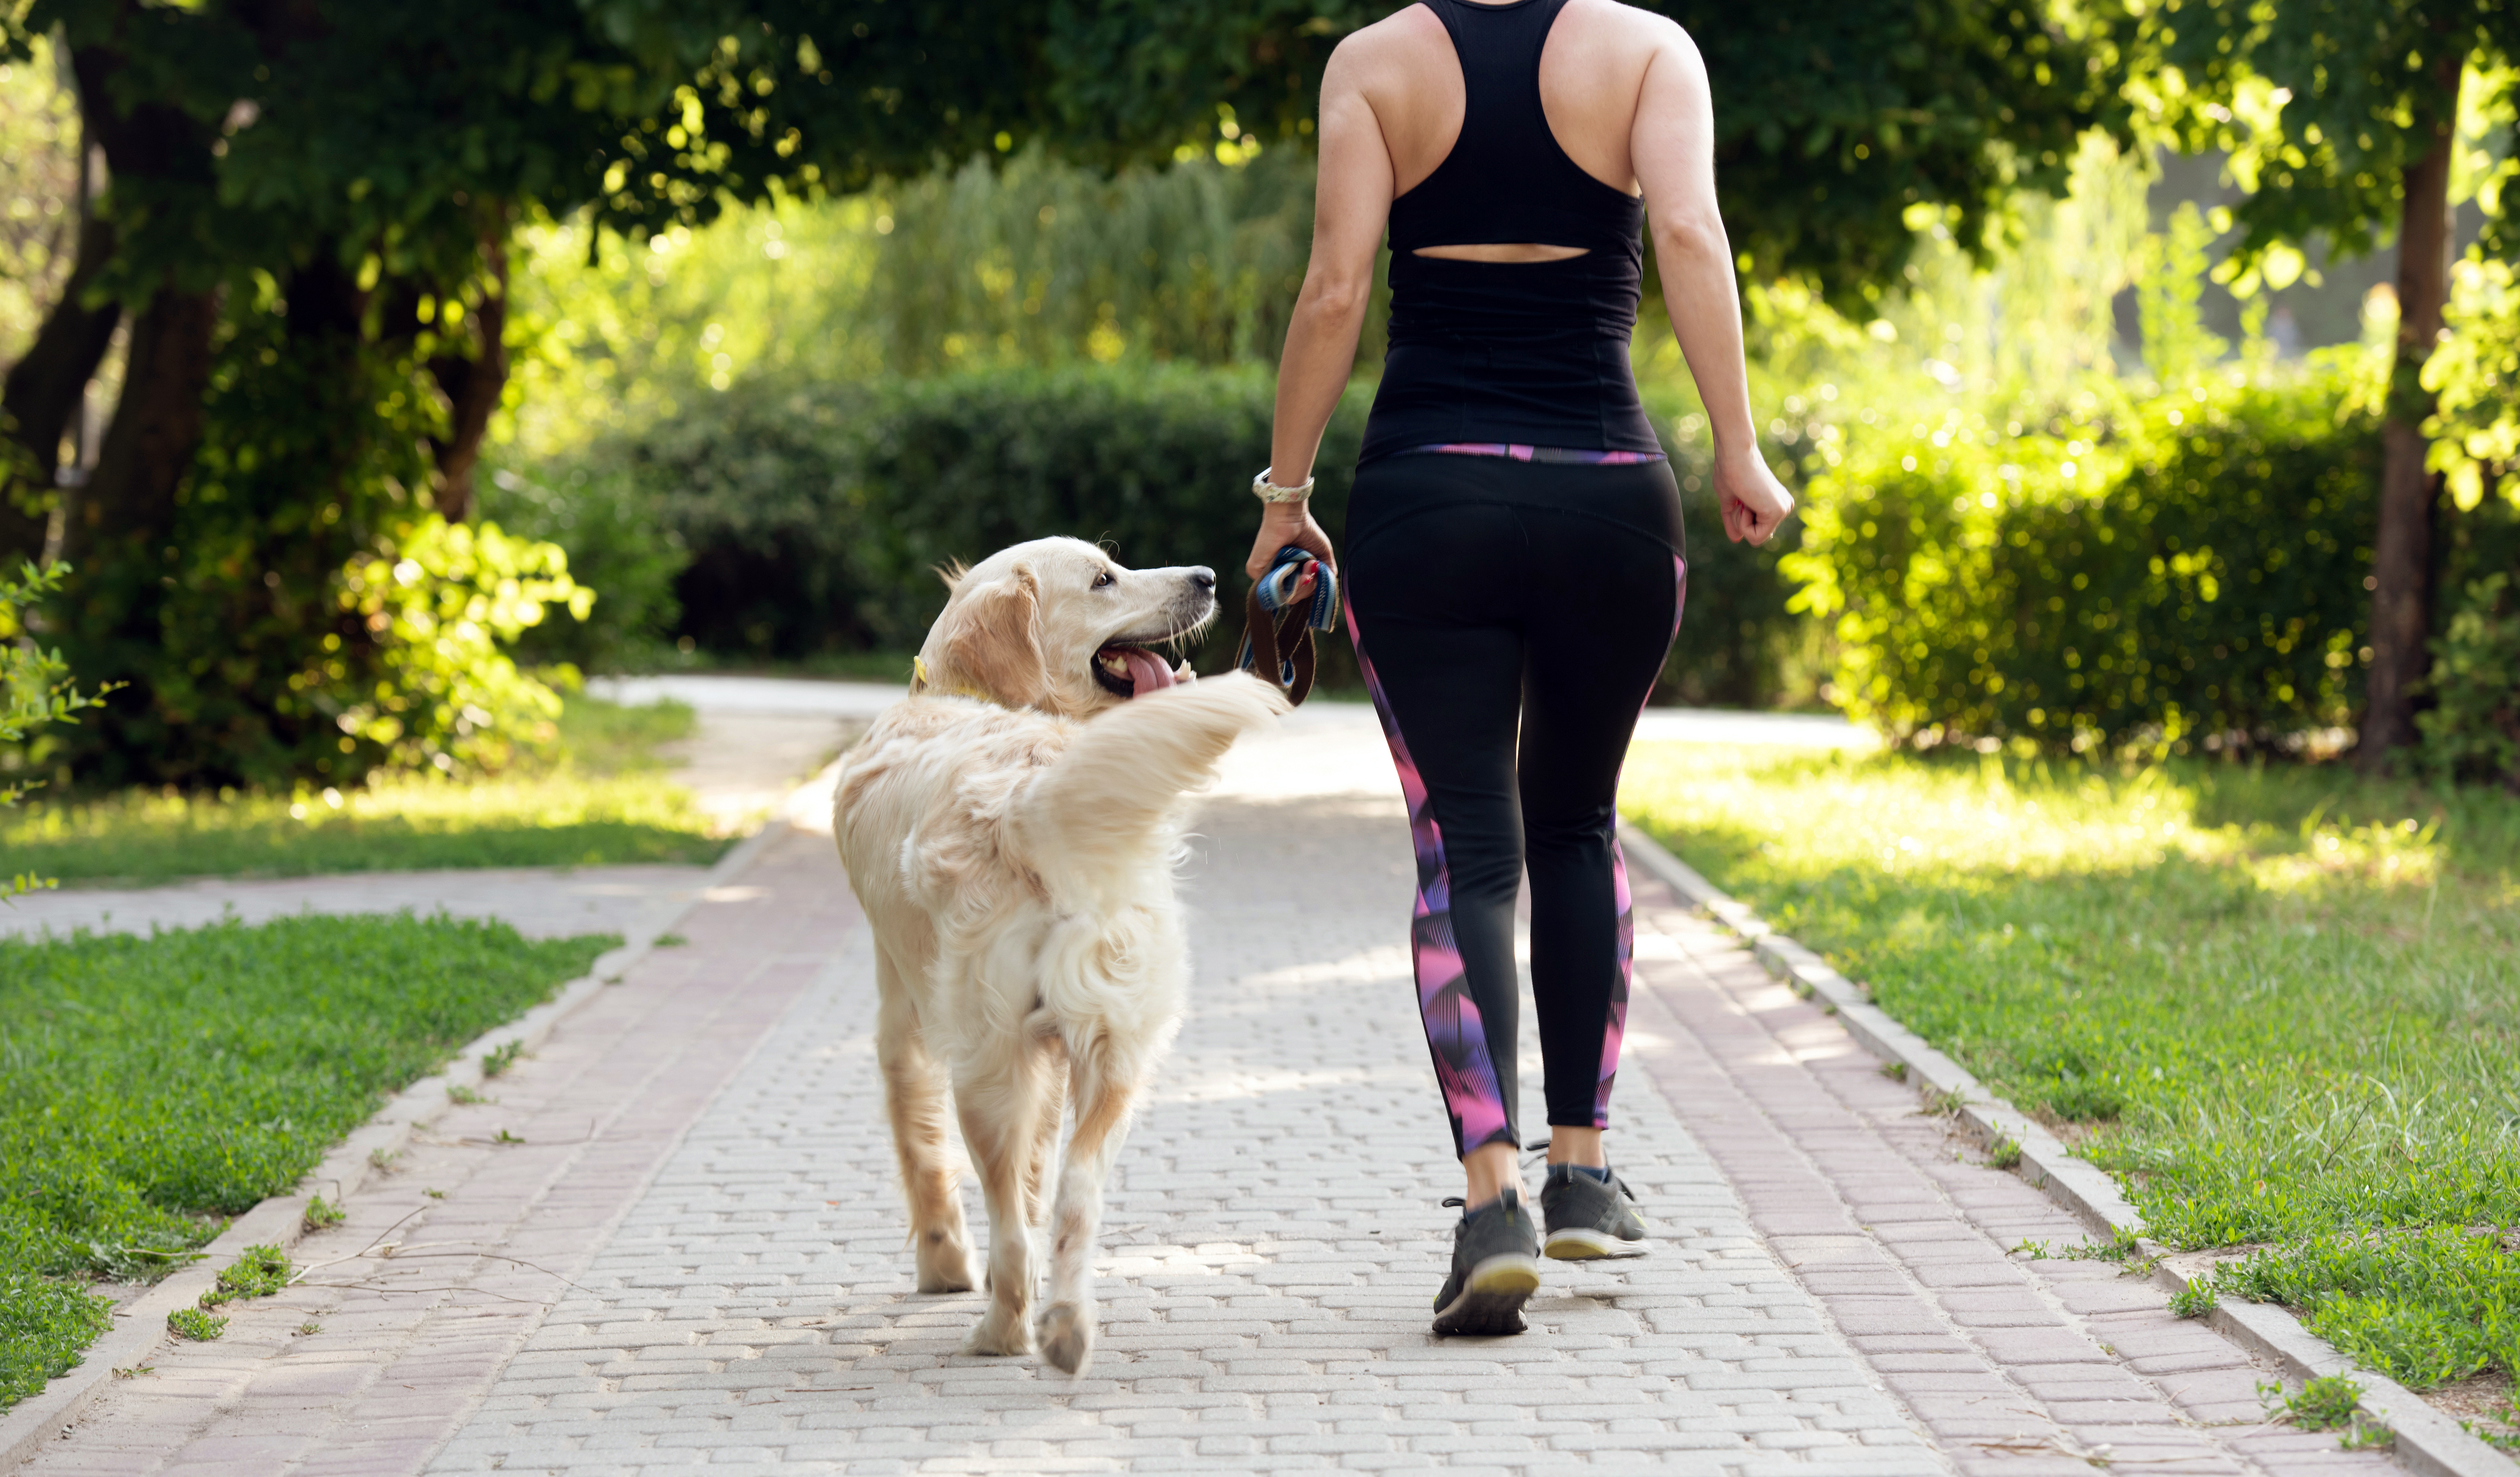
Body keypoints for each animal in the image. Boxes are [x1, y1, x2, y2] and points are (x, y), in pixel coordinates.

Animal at [837, 532, 1290, 1371]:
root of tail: (1027, 797)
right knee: (1077, 1190)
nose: (1210, 576)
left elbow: (923, 1153)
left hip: (984, 1061)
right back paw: (1066, 1327)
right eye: (1104, 579)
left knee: (1012, 1221)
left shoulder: (904, 1022)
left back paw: (1002, 1329)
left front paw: (943, 1264)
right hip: (1117, 1049)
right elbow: (1042, 1172)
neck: (978, 702)